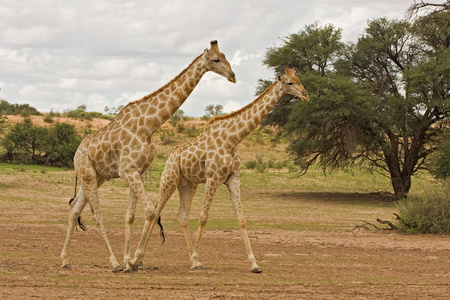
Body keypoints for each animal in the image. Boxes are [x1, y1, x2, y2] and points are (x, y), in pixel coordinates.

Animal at [60, 39, 237, 272]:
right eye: (216, 60)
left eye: (225, 56)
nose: (233, 75)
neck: (149, 125)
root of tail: (77, 152)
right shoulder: (127, 170)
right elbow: (151, 211)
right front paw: (131, 261)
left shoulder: (140, 171)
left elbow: (131, 215)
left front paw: (130, 261)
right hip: (88, 174)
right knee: (96, 213)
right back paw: (113, 263)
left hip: (97, 177)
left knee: (74, 209)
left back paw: (64, 260)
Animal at [126, 67, 310, 274]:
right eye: (290, 83)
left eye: (299, 79)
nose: (306, 95)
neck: (233, 139)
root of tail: (171, 155)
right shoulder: (213, 177)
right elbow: (203, 217)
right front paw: (197, 258)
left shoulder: (233, 179)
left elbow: (241, 219)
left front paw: (254, 264)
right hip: (169, 179)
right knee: (155, 212)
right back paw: (137, 260)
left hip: (188, 184)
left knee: (181, 216)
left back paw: (177, 260)